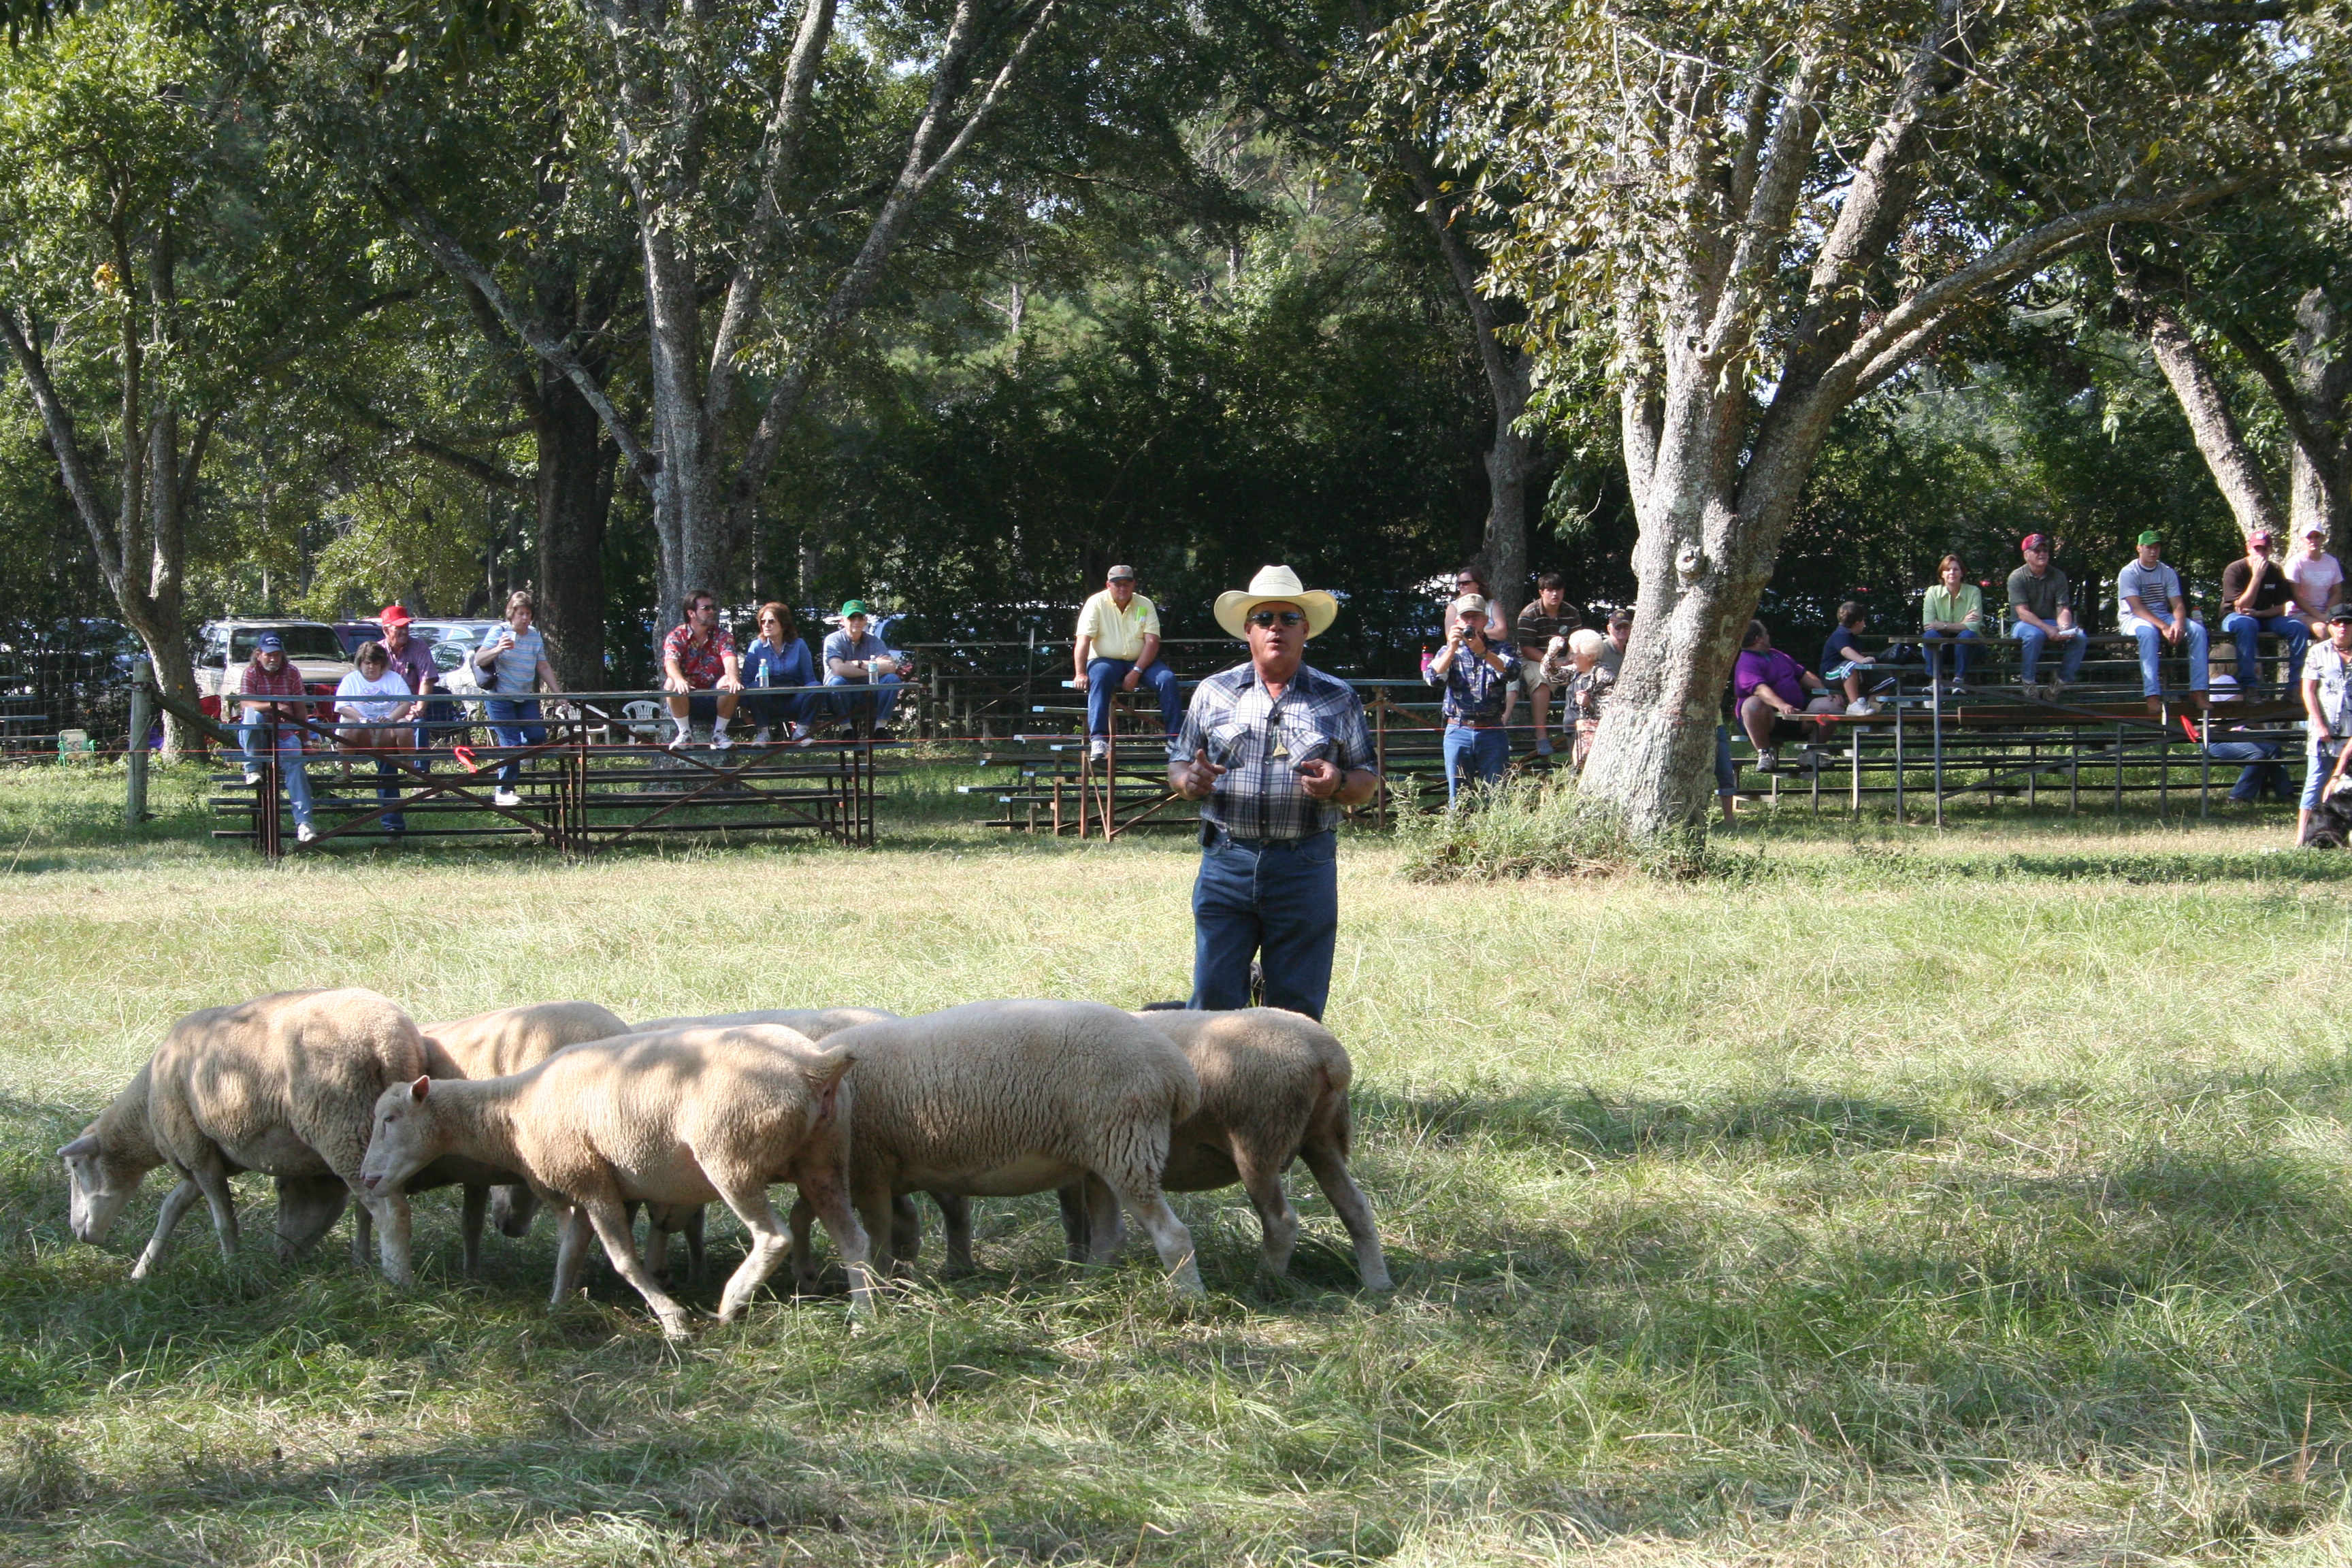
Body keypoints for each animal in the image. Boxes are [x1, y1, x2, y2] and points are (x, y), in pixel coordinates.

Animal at [56, 988, 428, 1284]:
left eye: (74, 1167)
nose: (77, 1232)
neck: (146, 1108)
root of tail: (390, 1042)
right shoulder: (205, 1150)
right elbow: (172, 1206)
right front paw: (143, 1269)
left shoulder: (193, 1148)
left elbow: (223, 1216)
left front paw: (231, 1265)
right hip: (368, 1133)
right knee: (368, 1205)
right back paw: (365, 1263)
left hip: (344, 1123)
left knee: (389, 1209)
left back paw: (398, 1281)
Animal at [357, 1024, 870, 1337]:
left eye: (390, 1118)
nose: (365, 1178)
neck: (514, 1109)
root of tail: (814, 1066)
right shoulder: (593, 1186)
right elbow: (569, 1254)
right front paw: (557, 1308)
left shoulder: (590, 1182)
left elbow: (622, 1259)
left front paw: (673, 1319)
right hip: (823, 1159)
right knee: (852, 1238)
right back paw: (864, 1317)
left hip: (731, 1157)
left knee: (774, 1236)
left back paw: (730, 1305)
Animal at [784, 1000, 1206, 1296]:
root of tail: (1176, 1072)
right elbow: (805, 1215)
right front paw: (809, 1275)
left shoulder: (870, 1168)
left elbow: (879, 1236)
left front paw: (883, 1285)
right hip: (1104, 1155)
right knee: (1109, 1234)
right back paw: (1086, 1288)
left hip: (1126, 1142)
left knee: (1172, 1233)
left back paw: (1188, 1298)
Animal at [928, 1008, 1392, 1290]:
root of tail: (1329, 1055)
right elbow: (1078, 1221)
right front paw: (1080, 1268)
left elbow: (1076, 1220)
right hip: (1322, 1139)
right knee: (1355, 1207)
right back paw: (1377, 1284)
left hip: (1258, 1140)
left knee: (1280, 1221)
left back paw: (1265, 1284)